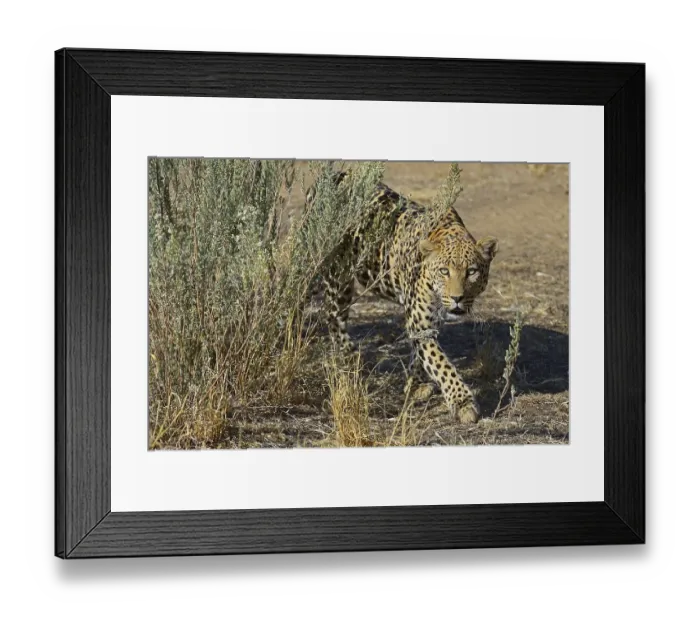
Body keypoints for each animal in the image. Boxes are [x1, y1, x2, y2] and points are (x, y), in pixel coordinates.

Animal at [309, 172, 499, 424]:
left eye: (472, 271)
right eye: (444, 271)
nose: (457, 298)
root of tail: (337, 174)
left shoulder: (428, 321)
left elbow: (421, 356)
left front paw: (415, 385)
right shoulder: (420, 321)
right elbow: (441, 363)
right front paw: (463, 403)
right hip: (336, 274)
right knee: (330, 315)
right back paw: (350, 360)